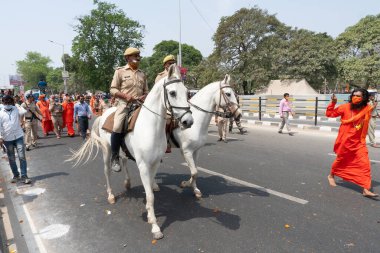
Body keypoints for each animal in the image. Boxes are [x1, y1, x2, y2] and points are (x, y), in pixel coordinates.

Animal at [69, 64, 193, 239]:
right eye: (173, 93)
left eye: (187, 92)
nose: (188, 121)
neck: (151, 126)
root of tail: (105, 113)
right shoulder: (143, 166)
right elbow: (150, 196)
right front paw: (155, 226)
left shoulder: (155, 164)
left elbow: (151, 190)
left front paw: (151, 213)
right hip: (107, 151)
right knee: (107, 171)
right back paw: (111, 195)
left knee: (124, 160)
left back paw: (127, 182)